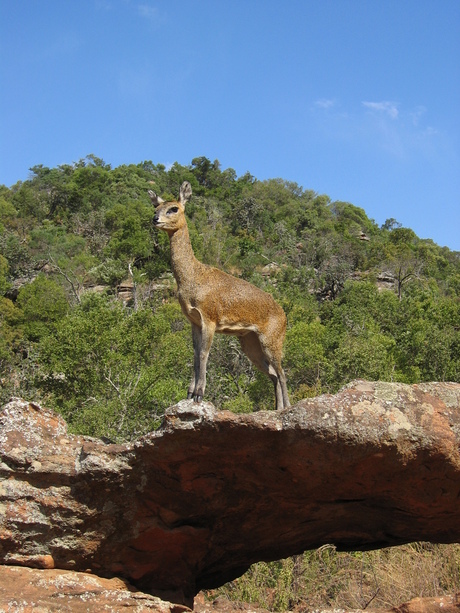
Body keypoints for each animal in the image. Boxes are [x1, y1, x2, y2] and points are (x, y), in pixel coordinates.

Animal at [149, 182, 290, 412]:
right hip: (249, 342)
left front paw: (199, 394)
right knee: (273, 374)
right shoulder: (194, 321)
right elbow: (195, 355)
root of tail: (284, 315)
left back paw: (286, 407)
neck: (193, 277)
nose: (155, 219)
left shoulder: (210, 319)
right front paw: (189, 393)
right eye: (156, 207)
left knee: (282, 372)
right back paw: (276, 408)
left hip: (272, 340)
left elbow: (204, 354)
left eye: (174, 208)